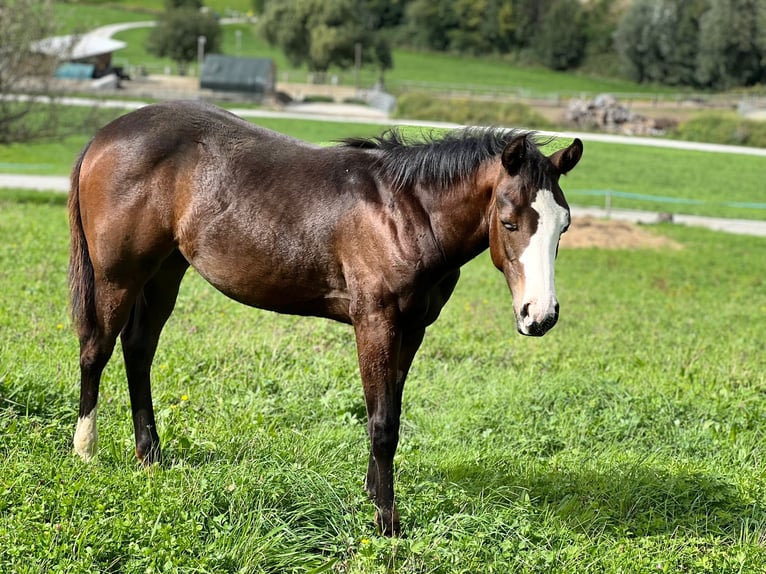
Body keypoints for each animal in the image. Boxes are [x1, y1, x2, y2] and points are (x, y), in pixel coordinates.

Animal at [68, 100, 583, 536]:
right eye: (510, 221)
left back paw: (150, 456)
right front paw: (387, 523)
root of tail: (104, 135)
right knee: (96, 349)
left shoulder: (412, 329)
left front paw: (373, 495)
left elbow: (390, 412)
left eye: (564, 226)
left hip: (165, 271)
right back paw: (86, 451)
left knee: (138, 350)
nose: (540, 315)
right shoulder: (375, 322)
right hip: (118, 276)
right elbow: (382, 424)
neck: (405, 212)